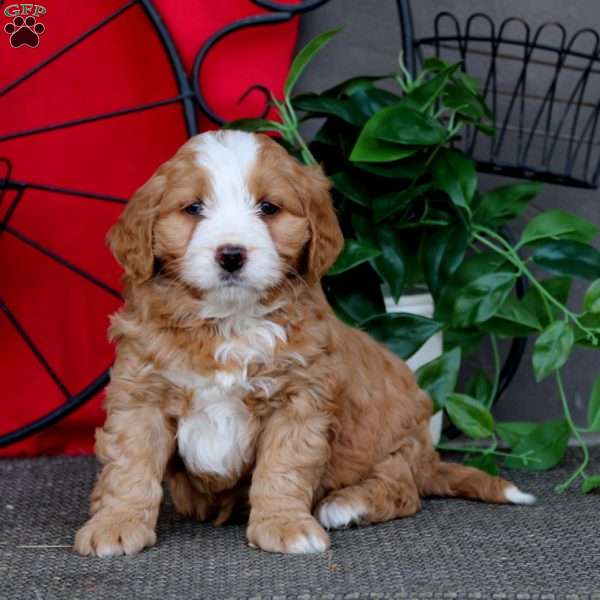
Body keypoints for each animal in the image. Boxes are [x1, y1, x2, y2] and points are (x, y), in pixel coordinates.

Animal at [75, 131, 536, 556]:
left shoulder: (300, 399)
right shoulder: (141, 394)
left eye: (268, 208)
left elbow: (283, 467)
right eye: (193, 209)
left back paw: (348, 505)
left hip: (400, 443)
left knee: (403, 489)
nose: (231, 255)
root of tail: (429, 458)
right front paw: (116, 523)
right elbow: (130, 466)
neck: (229, 319)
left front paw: (283, 525)